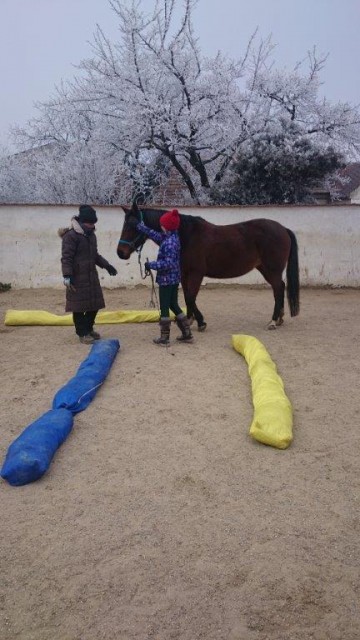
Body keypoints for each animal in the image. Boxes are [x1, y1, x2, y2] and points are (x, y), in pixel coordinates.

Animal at [116, 204, 300, 330]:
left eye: (133, 226)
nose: (120, 252)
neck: (185, 235)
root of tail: (283, 229)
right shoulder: (184, 273)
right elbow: (187, 296)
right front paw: (189, 319)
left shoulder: (197, 273)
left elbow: (191, 297)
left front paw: (201, 322)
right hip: (265, 268)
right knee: (280, 287)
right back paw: (280, 318)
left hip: (272, 270)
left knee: (278, 289)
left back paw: (273, 321)